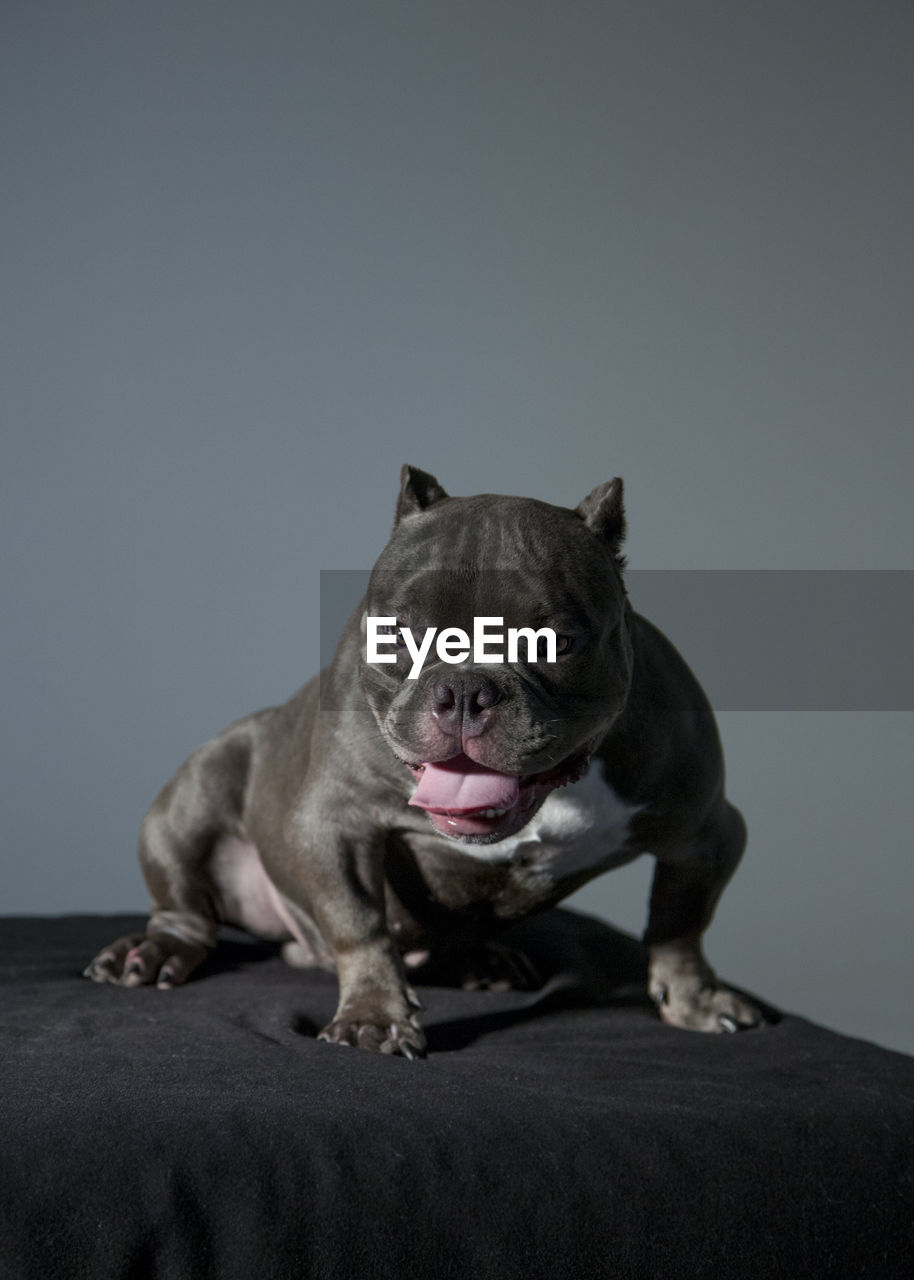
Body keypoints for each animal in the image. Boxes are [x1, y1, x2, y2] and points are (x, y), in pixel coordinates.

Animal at [85, 465, 757, 1054]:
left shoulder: (703, 832)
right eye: (399, 632)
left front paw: (696, 999)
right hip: (190, 801)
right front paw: (372, 1016)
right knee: (186, 910)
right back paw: (154, 952)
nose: (464, 690)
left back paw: (482, 960)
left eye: (557, 641)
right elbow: (360, 923)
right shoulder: (337, 823)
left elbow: (680, 923)